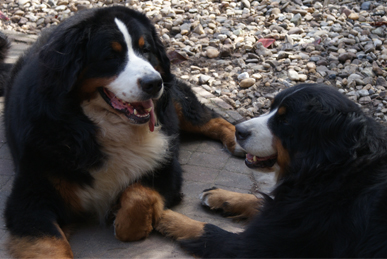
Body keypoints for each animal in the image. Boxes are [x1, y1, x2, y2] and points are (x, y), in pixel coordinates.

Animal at [1, 6, 241, 259]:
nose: (153, 83)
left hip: (174, 99)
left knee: (209, 117)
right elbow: (50, 245)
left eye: (146, 50)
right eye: (111, 55)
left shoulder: (165, 167)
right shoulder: (32, 197)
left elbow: (138, 197)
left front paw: (125, 219)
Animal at [156, 84, 387, 258]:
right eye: (271, 108)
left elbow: (205, 230)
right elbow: (259, 200)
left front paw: (163, 215)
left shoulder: (261, 245)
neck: (332, 170)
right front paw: (221, 196)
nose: (238, 130)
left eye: (284, 121)